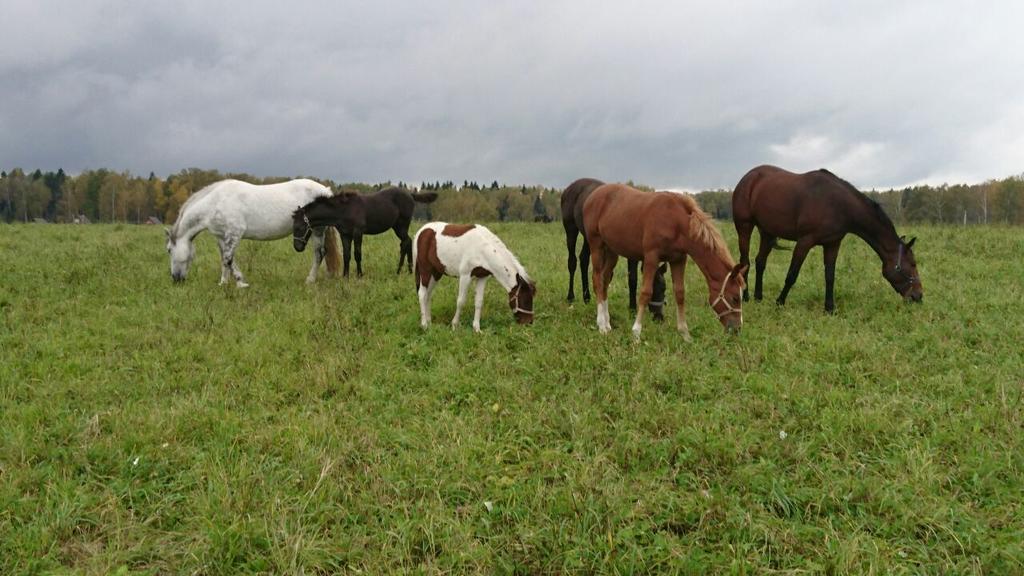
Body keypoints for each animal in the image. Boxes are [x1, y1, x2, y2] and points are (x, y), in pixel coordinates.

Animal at [163, 177, 339, 284]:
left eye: (169, 250)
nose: (175, 278)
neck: (215, 202)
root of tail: (325, 190)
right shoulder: (222, 237)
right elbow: (226, 260)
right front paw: (227, 282)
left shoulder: (235, 233)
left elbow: (228, 259)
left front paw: (238, 283)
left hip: (317, 230)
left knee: (319, 254)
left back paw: (310, 280)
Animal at [296, 186, 440, 276]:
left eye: (299, 227)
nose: (298, 247)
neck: (344, 210)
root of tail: (410, 194)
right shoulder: (345, 234)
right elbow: (346, 255)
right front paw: (345, 276)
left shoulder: (357, 232)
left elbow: (357, 254)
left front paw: (359, 275)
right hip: (397, 227)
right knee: (407, 242)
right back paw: (406, 270)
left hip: (402, 225)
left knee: (406, 242)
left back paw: (402, 270)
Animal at [561, 176, 671, 317]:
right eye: (658, 287)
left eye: (664, 287)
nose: (659, 316)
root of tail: (569, 188)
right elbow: (632, 278)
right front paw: (632, 308)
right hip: (571, 230)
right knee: (572, 262)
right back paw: (571, 296)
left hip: (589, 238)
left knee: (584, 259)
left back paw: (587, 297)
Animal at [585, 181, 745, 338]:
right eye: (735, 298)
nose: (737, 329)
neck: (676, 222)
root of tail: (593, 195)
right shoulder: (651, 257)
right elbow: (645, 293)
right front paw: (636, 332)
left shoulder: (679, 260)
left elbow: (680, 293)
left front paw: (685, 333)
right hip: (596, 245)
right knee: (598, 280)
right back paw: (601, 325)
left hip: (612, 251)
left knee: (605, 280)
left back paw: (607, 323)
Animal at [733, 163, 925, 311]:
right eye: (913, 264)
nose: (918, 296)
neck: (838, 205)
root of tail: (748, 177)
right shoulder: (804, 242)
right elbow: (792, 275)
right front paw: (780, 302)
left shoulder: (833, 244)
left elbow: (830, 276)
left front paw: (830, 308)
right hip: (744, 227)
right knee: (745, 262)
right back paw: (746, 297)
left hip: (767, 232)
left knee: (760, 262)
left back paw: (758, 297)